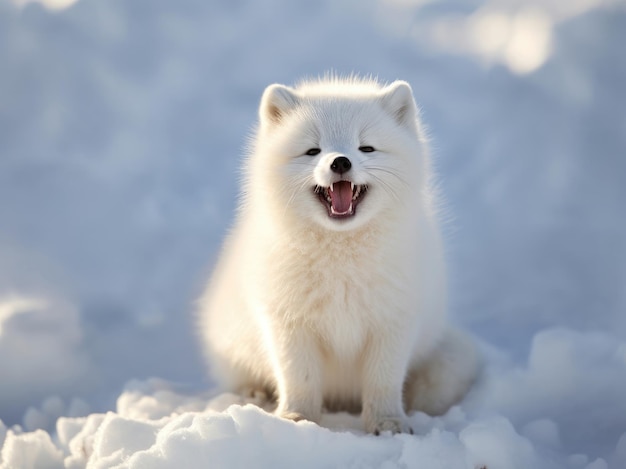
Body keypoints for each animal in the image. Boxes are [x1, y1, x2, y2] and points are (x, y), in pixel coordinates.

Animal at [200, 76, 478, 432]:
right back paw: (256, 395)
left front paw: (387, 423)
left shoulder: (393, 322)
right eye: (313, 150)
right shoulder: (288, 323)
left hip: (450, 357)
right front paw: (297, 419)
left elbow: (383, 381)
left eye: (366, 148)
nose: (340, 161)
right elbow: (299, 379)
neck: (342, 261)